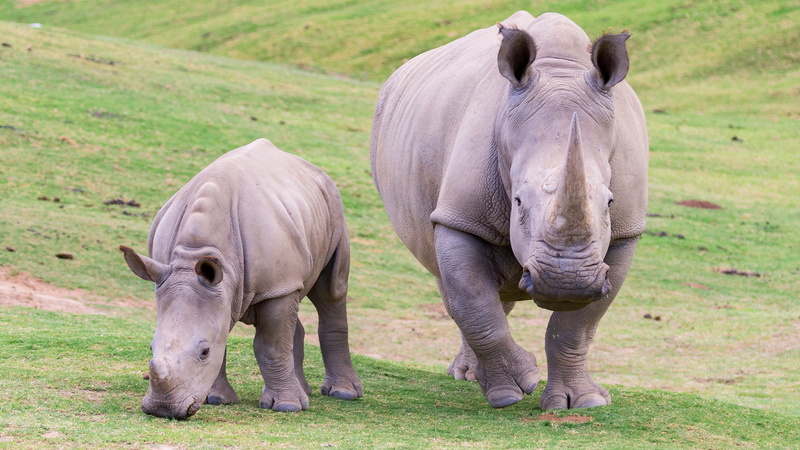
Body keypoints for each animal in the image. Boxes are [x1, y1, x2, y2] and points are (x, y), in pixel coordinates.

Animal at [120, 138, 362, 419]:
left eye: (204, 352)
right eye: (150, 347)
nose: (163, 409)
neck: (196, 254)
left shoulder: (276, 285)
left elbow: (271, 344)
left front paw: (287, 406)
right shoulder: (213, 288)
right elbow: (224, 334)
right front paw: (216, 399)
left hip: (333, 207)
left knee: (331, 291)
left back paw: (343, 393)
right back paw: (305, 390)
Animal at [370, 11, 648, 410]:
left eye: (609, 202)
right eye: (517, 201)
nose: (567, 283)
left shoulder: (626, 230)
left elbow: (577, 326)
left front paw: (584, 401)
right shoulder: (461, 218)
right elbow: (473, 302)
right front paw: (512, 390)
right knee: (449, 280)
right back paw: (469, 376)